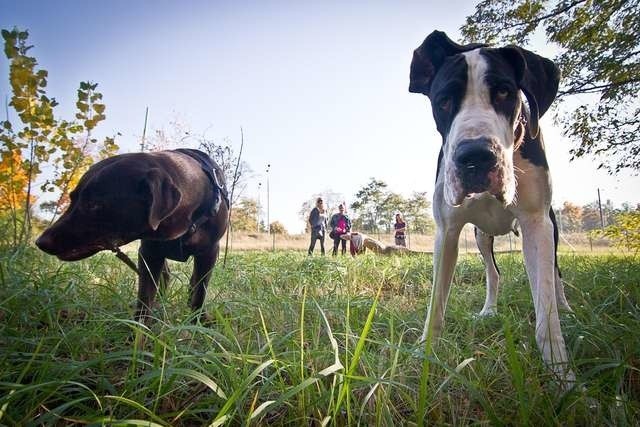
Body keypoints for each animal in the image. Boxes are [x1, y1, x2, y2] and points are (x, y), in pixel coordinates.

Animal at [36, 149, 229, 322]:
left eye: (93, 204)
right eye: (72, 198)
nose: (40, 242)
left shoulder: (209, 252)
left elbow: (200, 291)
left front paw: (197, 321)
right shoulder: (150, 252)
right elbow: (145, 298)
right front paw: (139, 331)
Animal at [410, 30, 576, 384]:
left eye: (503, 92)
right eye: (443, 101)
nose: (475, 156)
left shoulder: (537, 224)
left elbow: (546, 309)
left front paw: (560, 373)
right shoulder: (448, 231)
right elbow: (436, 304)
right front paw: (424, 353)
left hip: (552, 229)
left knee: (556, 275)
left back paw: (567, 308)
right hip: (480, 236)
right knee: (493, 273)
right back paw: (489, 310)